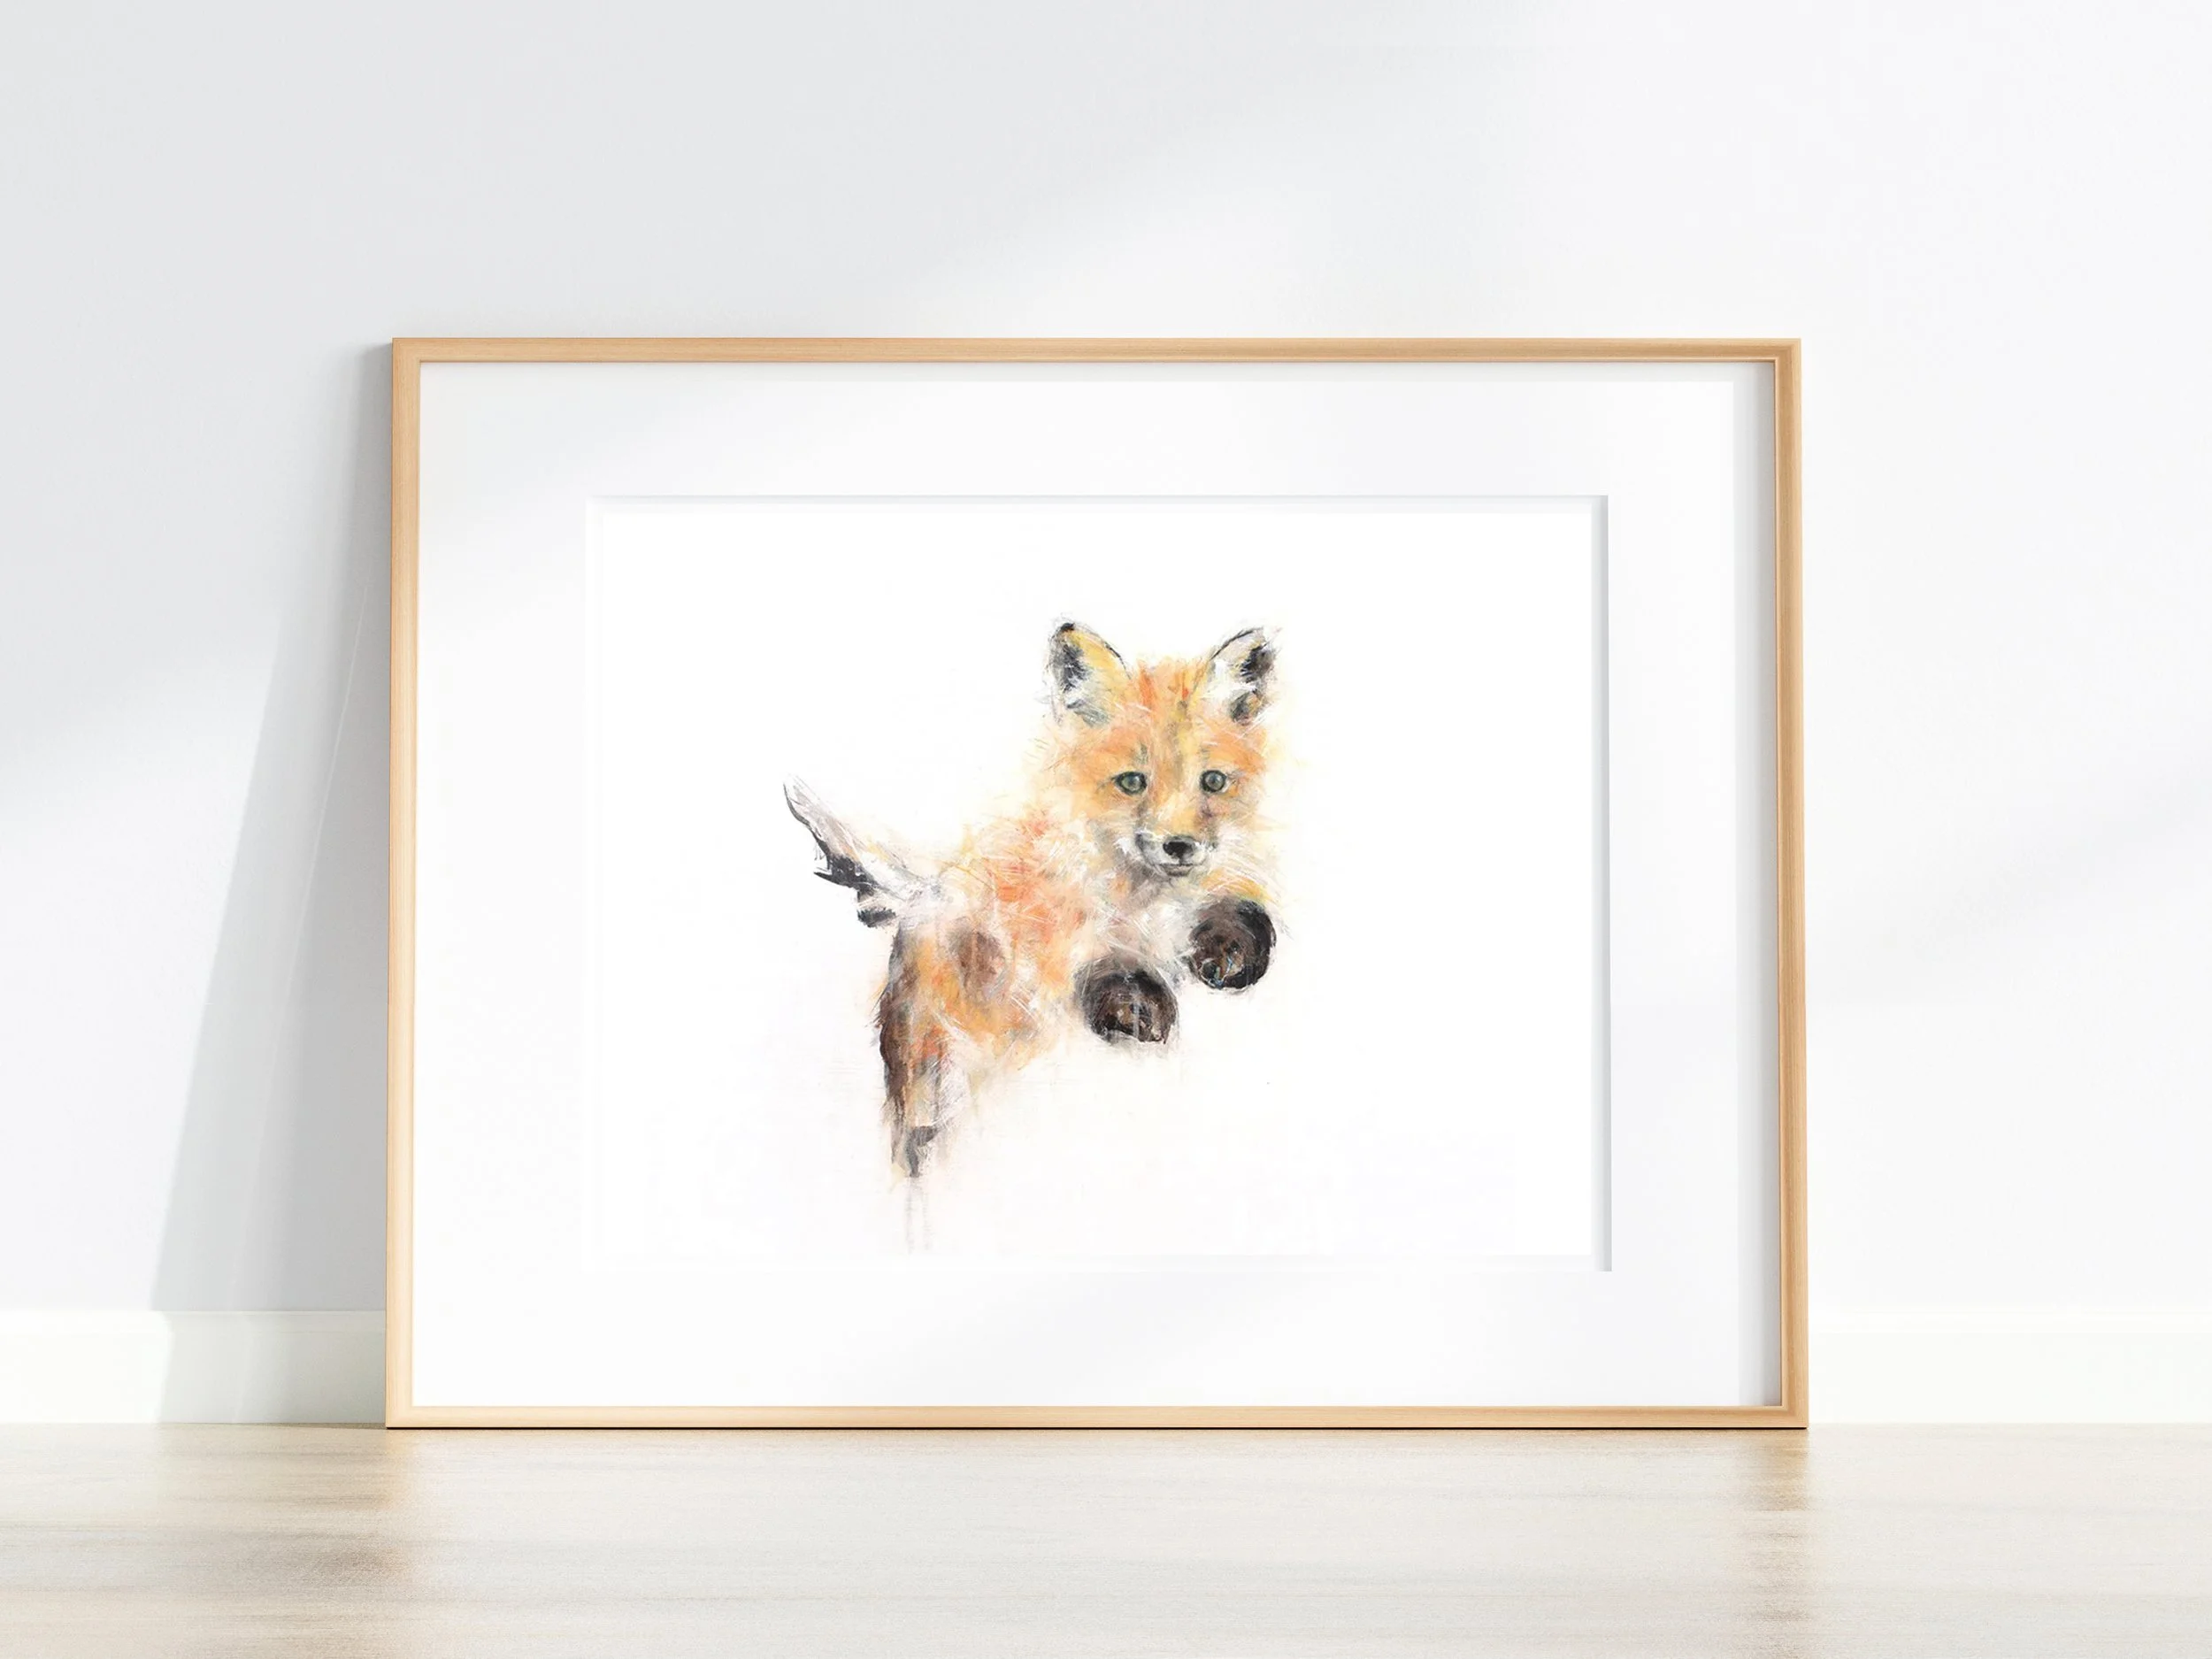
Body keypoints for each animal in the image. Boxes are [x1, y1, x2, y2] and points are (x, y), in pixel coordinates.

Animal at [786, 622, 1279, 1178]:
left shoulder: (1219, 894)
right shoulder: (1054, 942)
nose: (1180, 846)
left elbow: (1244, 913)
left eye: (1213, 781)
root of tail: (927, 894)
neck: (1149, 902)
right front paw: (1138, 1009)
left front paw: (1230, 954)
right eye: (1132, 782)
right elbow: (1096, 967)